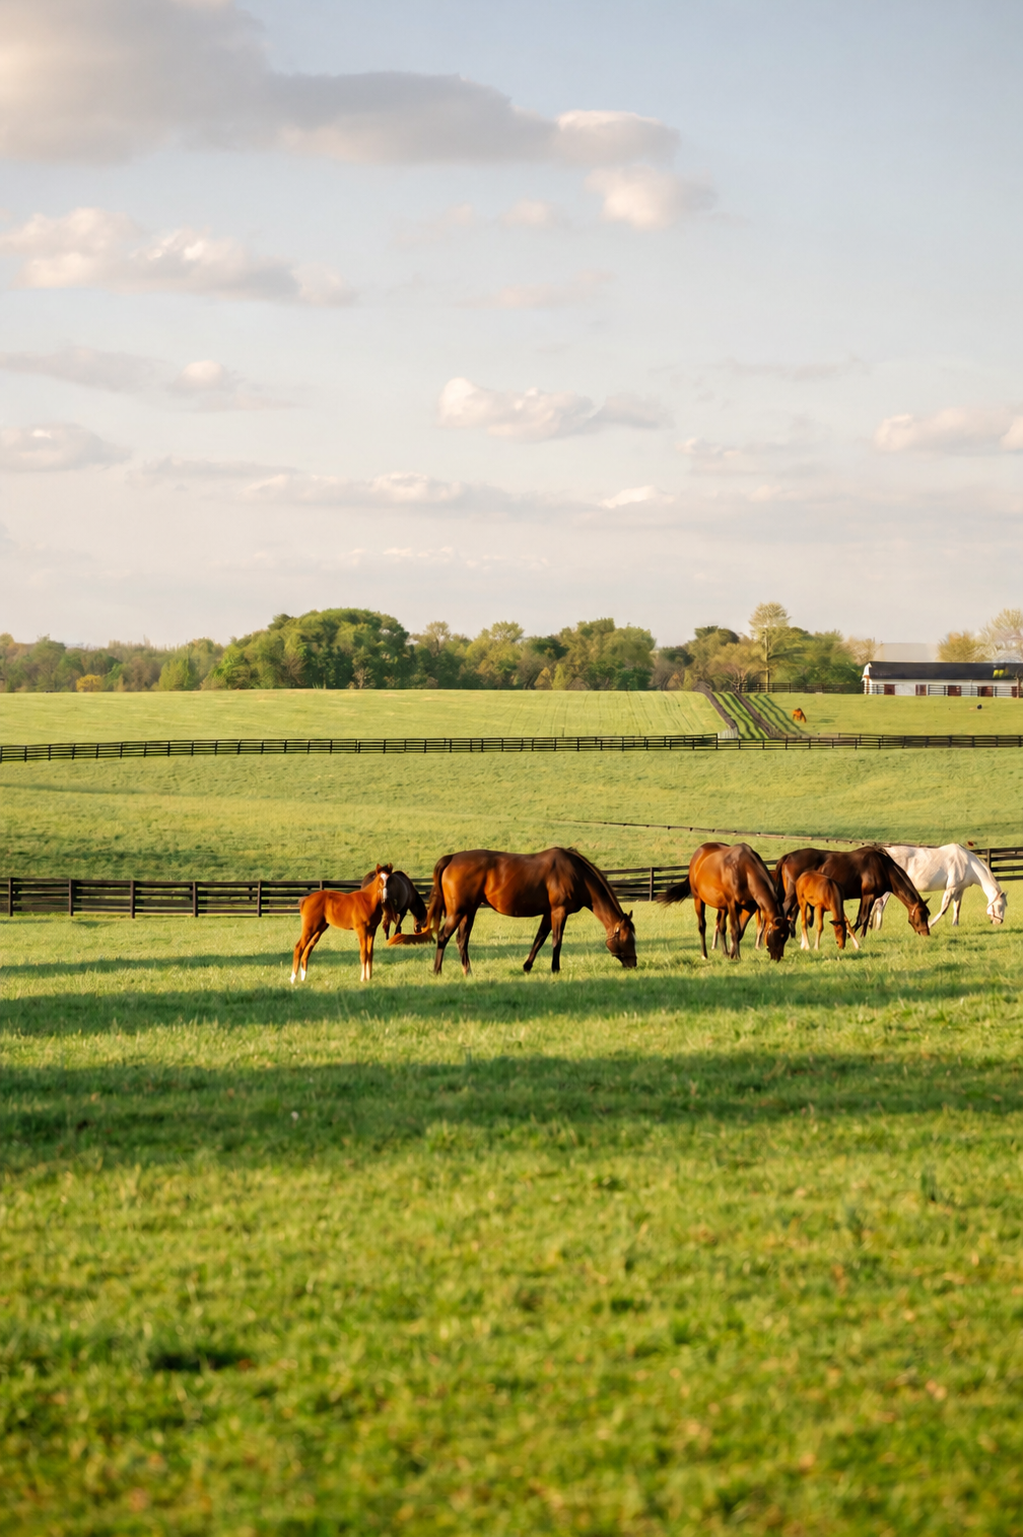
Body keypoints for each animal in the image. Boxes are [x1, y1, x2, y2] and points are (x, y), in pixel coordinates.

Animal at [426, 848, 637, 976]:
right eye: (628, 939)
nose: (634, 964)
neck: (576, 874)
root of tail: (451, 858)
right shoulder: (559, 912)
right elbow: (556, 941)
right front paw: (555, 969)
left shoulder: (548, 914)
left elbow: (539, 939)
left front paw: (527, 966)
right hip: (458, 912)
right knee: (443, 937)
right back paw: (437, 970)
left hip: (468, 911)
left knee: (462, 940)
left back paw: (467, 971)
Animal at [659, 842, 789, 961]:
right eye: (780, 935)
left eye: (785, 937)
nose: (777, 957)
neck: (745, 870)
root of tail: (698, 854)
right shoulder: (732, 904)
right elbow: (735, 929)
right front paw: (735, 956)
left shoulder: (749, 908)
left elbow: (739, 931)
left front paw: (733, 954)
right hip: (698, 899)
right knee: (702, 926)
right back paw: (704, 955)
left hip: (722, 907)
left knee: (721, 927)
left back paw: (725, 953)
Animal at [776, 846, 929, 939]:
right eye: (922, 915)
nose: (926, 933)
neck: (883, 866)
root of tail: (788, 856)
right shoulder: (868, 895)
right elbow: (862, 918)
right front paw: (852, 936)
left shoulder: (868, 897)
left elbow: (865, 918)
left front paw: (861, 936)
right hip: (791, 895)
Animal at [873, 844, 1007, 930]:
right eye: (1000, 905)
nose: (999, 922)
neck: (968, 864)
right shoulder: (951, 888)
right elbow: (944, 908)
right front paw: (930, 924)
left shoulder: (959, 890)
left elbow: (957, 907)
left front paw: (955, 924)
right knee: (880, 903)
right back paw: (877, 926)